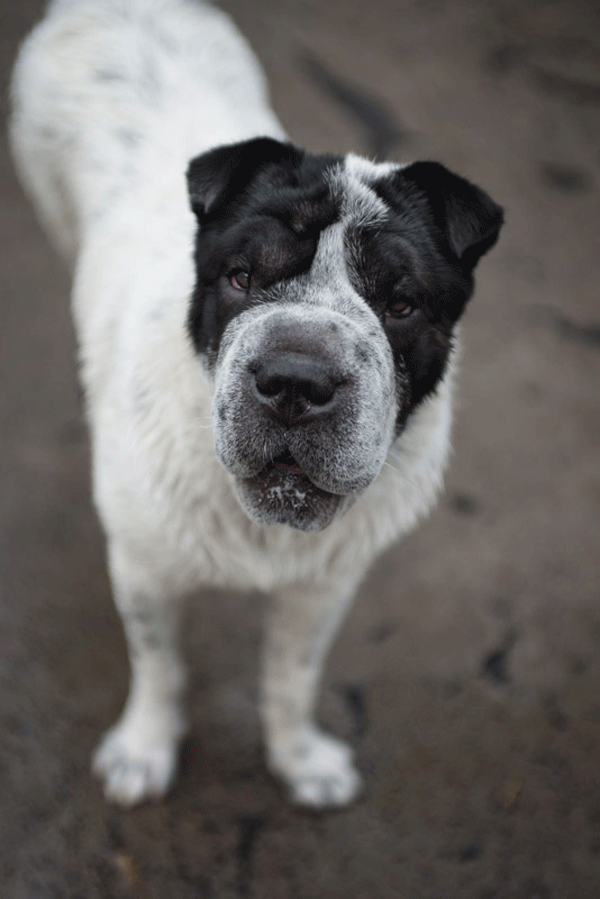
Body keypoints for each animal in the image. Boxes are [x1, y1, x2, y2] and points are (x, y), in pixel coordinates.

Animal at [11, 0, 504, 812]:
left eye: (400, 303)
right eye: (241, 277)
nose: (296, 381)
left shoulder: (325, 587)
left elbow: (292, 677)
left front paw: (299, 758)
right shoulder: (143, 570)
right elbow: (158, 665)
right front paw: (143, 752)